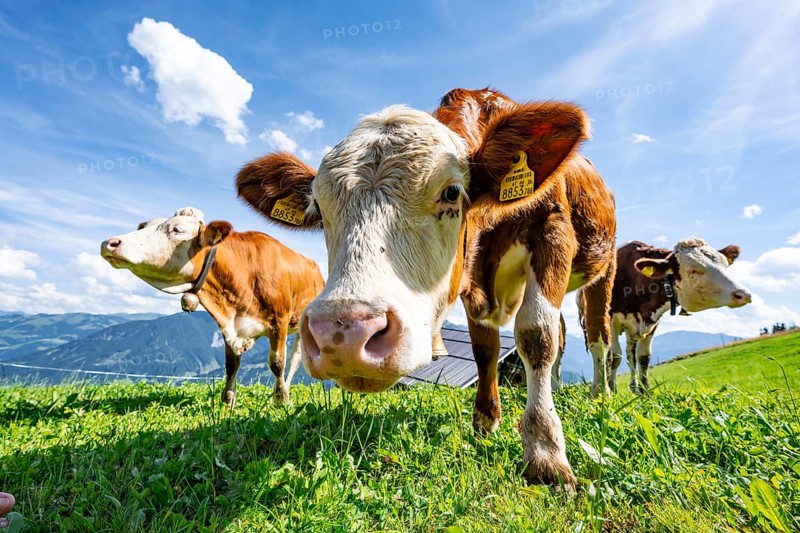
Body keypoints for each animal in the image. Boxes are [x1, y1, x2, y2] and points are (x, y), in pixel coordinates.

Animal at [100, 207, 324, 407]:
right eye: (144, 226)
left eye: (177, 230)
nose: (108, 243)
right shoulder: (230, 325)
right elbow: (231, 365)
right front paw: (227, 402)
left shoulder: (279, 321)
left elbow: (277, 364)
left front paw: (281, 401)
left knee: (295, 358)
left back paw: (285, 388)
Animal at [235, 88, 617, 490]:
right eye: (319, 210)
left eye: (451, 193)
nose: (342, 333)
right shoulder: (470, 283)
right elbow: (486, 349)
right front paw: (485, 421)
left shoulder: (553, 231)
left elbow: (536, 335)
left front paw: (545, 454)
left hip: (603, 269)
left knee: (597, 337)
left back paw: (601, 393)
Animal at [600, 239, 751, 393]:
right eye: (693, 270)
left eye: (725, 265)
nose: (744, 294)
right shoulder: (611, 322)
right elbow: (614, 357)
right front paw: (611, 389)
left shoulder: (652, 322)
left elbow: (643, 357)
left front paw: (645, 391)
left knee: (630, 355)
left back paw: (634, 388)